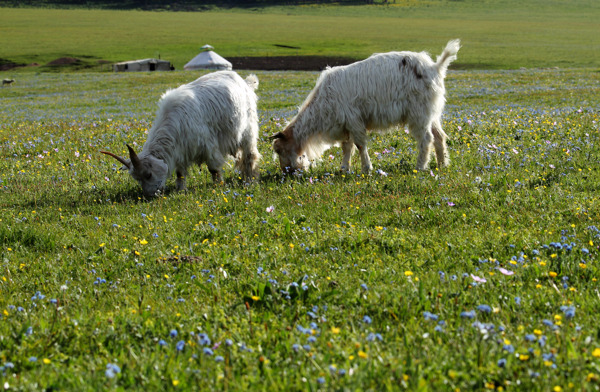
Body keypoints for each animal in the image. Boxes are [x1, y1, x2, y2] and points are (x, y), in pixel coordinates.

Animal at [101, 70, 260, 198]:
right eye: (137, 179)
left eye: (148, 174)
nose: (151, 195)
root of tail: (245, 82)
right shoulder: (180, 151)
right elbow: (180, 173)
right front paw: (180, 190)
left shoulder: (208, 145)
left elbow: (213, 169)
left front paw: (218, 186)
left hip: (248, 129)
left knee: (250, 155)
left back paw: (249, 179)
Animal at [272, 39, 460, 173]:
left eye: (279, 151)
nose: (286, 173)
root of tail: (435, 67)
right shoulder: (345, 124)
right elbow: (347, 147)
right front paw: (344, 169)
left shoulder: (354, 120)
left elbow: (360, 145)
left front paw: (366, 169)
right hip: (432, 113)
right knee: (439, 136)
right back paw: (442, 165)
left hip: (419, 113)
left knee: (426, 139)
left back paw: (420, 167)